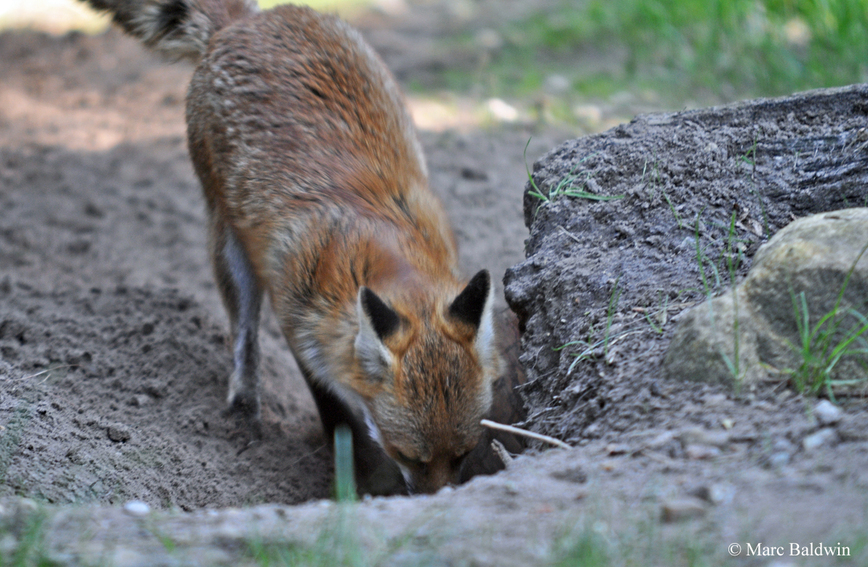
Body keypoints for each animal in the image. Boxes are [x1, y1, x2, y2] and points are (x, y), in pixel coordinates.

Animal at [83, 0, 502, 494]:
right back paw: (244, 408)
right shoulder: (297, 322)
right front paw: (355, 482)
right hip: (229, 248)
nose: (435, 499)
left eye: (464, 453)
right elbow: (336, 415)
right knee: (243, 335)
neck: (375, 248)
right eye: (407, 456)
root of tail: (246, 21)